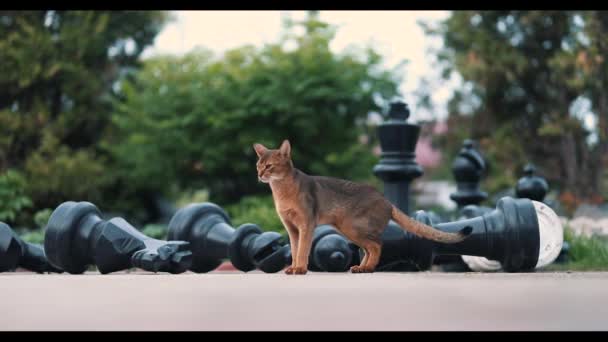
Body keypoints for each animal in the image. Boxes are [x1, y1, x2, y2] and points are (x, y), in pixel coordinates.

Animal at [252, 140, 470, 276]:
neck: (282, 190)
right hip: (351, 230)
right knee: (368, 248)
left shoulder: (307, 224)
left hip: (352, 227)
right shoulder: (292, 228)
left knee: (377, 245)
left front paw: (300, 269)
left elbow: (303, 250)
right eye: (258, 166)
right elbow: (295, 249)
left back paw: (368, 268)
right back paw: (362, 268)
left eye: (269, 166)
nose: (260, 175)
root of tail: (386, 200)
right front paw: (293, 268)